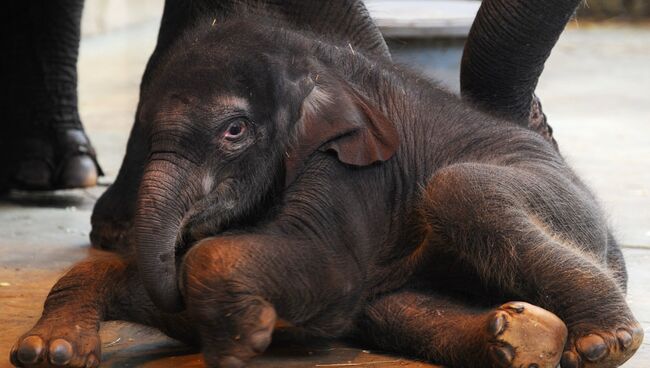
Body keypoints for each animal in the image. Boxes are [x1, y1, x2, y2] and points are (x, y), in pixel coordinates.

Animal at [10, 11, 636, 368]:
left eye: (234, 130)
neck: (310, 63)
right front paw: (49, 353)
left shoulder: (354, 172)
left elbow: (326, 268)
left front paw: (242, 339)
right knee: (388, 307)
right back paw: (518, 339)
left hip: (566, 208)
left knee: (459, 191)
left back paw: (603, 343)